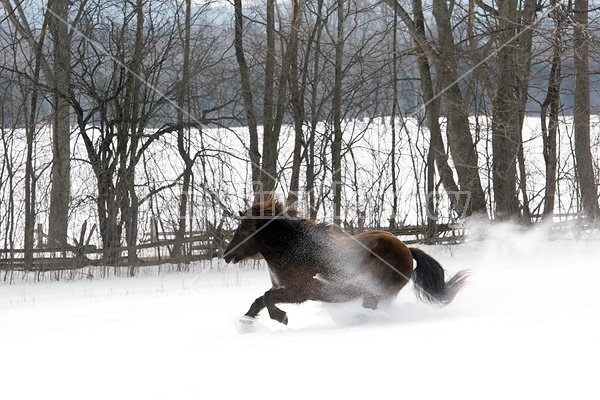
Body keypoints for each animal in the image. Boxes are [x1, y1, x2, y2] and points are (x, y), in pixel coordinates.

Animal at [225, 195, 468, 326]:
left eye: (243, 231)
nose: (226, 255)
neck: (293, 249)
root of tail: (407, 249)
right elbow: (259, 300)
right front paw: (245, 323)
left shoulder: (300, 291)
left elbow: (267, 297)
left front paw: (280, 317)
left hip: (375, 293)